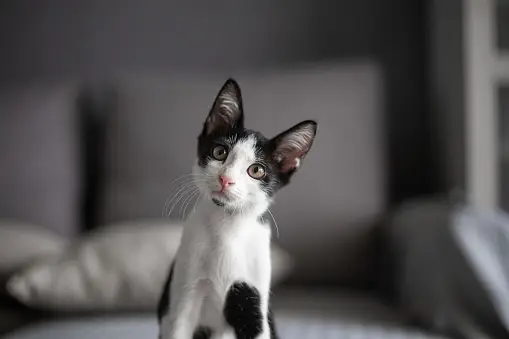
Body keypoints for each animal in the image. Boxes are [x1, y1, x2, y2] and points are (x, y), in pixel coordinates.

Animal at [158, 78, 318, 338]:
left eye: (257, 170)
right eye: (219, 152)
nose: (226, 179)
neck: (227, 226)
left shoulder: (253, 302)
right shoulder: (183, 295)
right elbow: (178, 324)